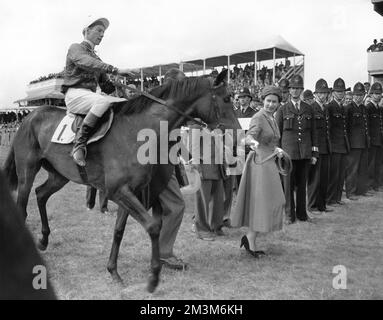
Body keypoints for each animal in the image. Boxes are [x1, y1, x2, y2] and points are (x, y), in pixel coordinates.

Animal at [3, 71, 242, 294]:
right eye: (227, 98)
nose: (238, 136)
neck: (137, 131)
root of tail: (29, 116)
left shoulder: (129, 192)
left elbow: (119, 231)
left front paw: (114, 272)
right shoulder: (119, 191)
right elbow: (153, 226)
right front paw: (153, 277)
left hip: (59, 175)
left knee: (41, 194)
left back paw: (43, 240)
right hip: (27, 172)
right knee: (23, 206)